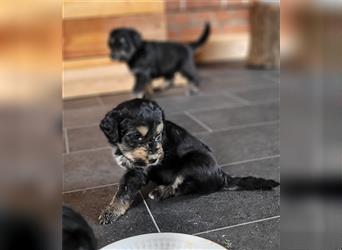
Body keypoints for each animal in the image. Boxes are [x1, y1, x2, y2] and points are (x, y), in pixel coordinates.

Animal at [97, 99, 280, 225]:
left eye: (158, 135)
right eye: (136, 137)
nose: (155, 159)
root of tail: (222, 175)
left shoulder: (138, 172)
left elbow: (125, 191)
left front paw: (111, 212)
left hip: (192, 163)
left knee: (180, 186)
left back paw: (160, 192)